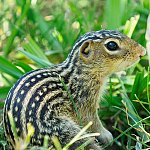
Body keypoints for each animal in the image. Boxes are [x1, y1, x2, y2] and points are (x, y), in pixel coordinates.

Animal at [2, 29, 145, 149]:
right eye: (112, 45)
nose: (143, 52)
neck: (79, 73)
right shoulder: (85, 101)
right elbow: (92, 121)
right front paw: (107, 136)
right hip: (63, 133)